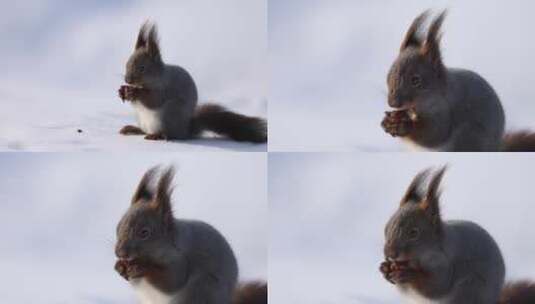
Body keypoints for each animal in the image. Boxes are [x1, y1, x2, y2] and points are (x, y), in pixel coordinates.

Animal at [114, 166, 266, 304]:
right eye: (118, 226)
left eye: (144, 233)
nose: (120, 253)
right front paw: (119, 266)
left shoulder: (181, 260)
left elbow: (171, 282)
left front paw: (141, 268)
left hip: (203, 289)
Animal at [118, 22, 268, 144]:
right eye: (126, 64)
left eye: (142, 68)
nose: (127, 80)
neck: (156, 77)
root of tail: (186, 130)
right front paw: (123, 91)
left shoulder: (165, 88)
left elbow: (153, 100)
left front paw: (134, 92)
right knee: (145, 130)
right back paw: (133, 129)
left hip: (170, 114)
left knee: (171, 135)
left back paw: (158, 135)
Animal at [382, 10, 535, 152]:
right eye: (389, 74)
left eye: (416, 80)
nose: (393, 103)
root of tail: (497, 148)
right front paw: (389, 120)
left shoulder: (445, 111)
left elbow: (434, 134)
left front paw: (403, 126)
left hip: (469, 138)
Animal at [382, 167, 535, 302]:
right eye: (386, 227)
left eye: (414, 233)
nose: (390, 254)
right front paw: (384, 268)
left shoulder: (445, 264)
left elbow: (437, 287)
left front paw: (407, 274)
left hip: (469, 290)